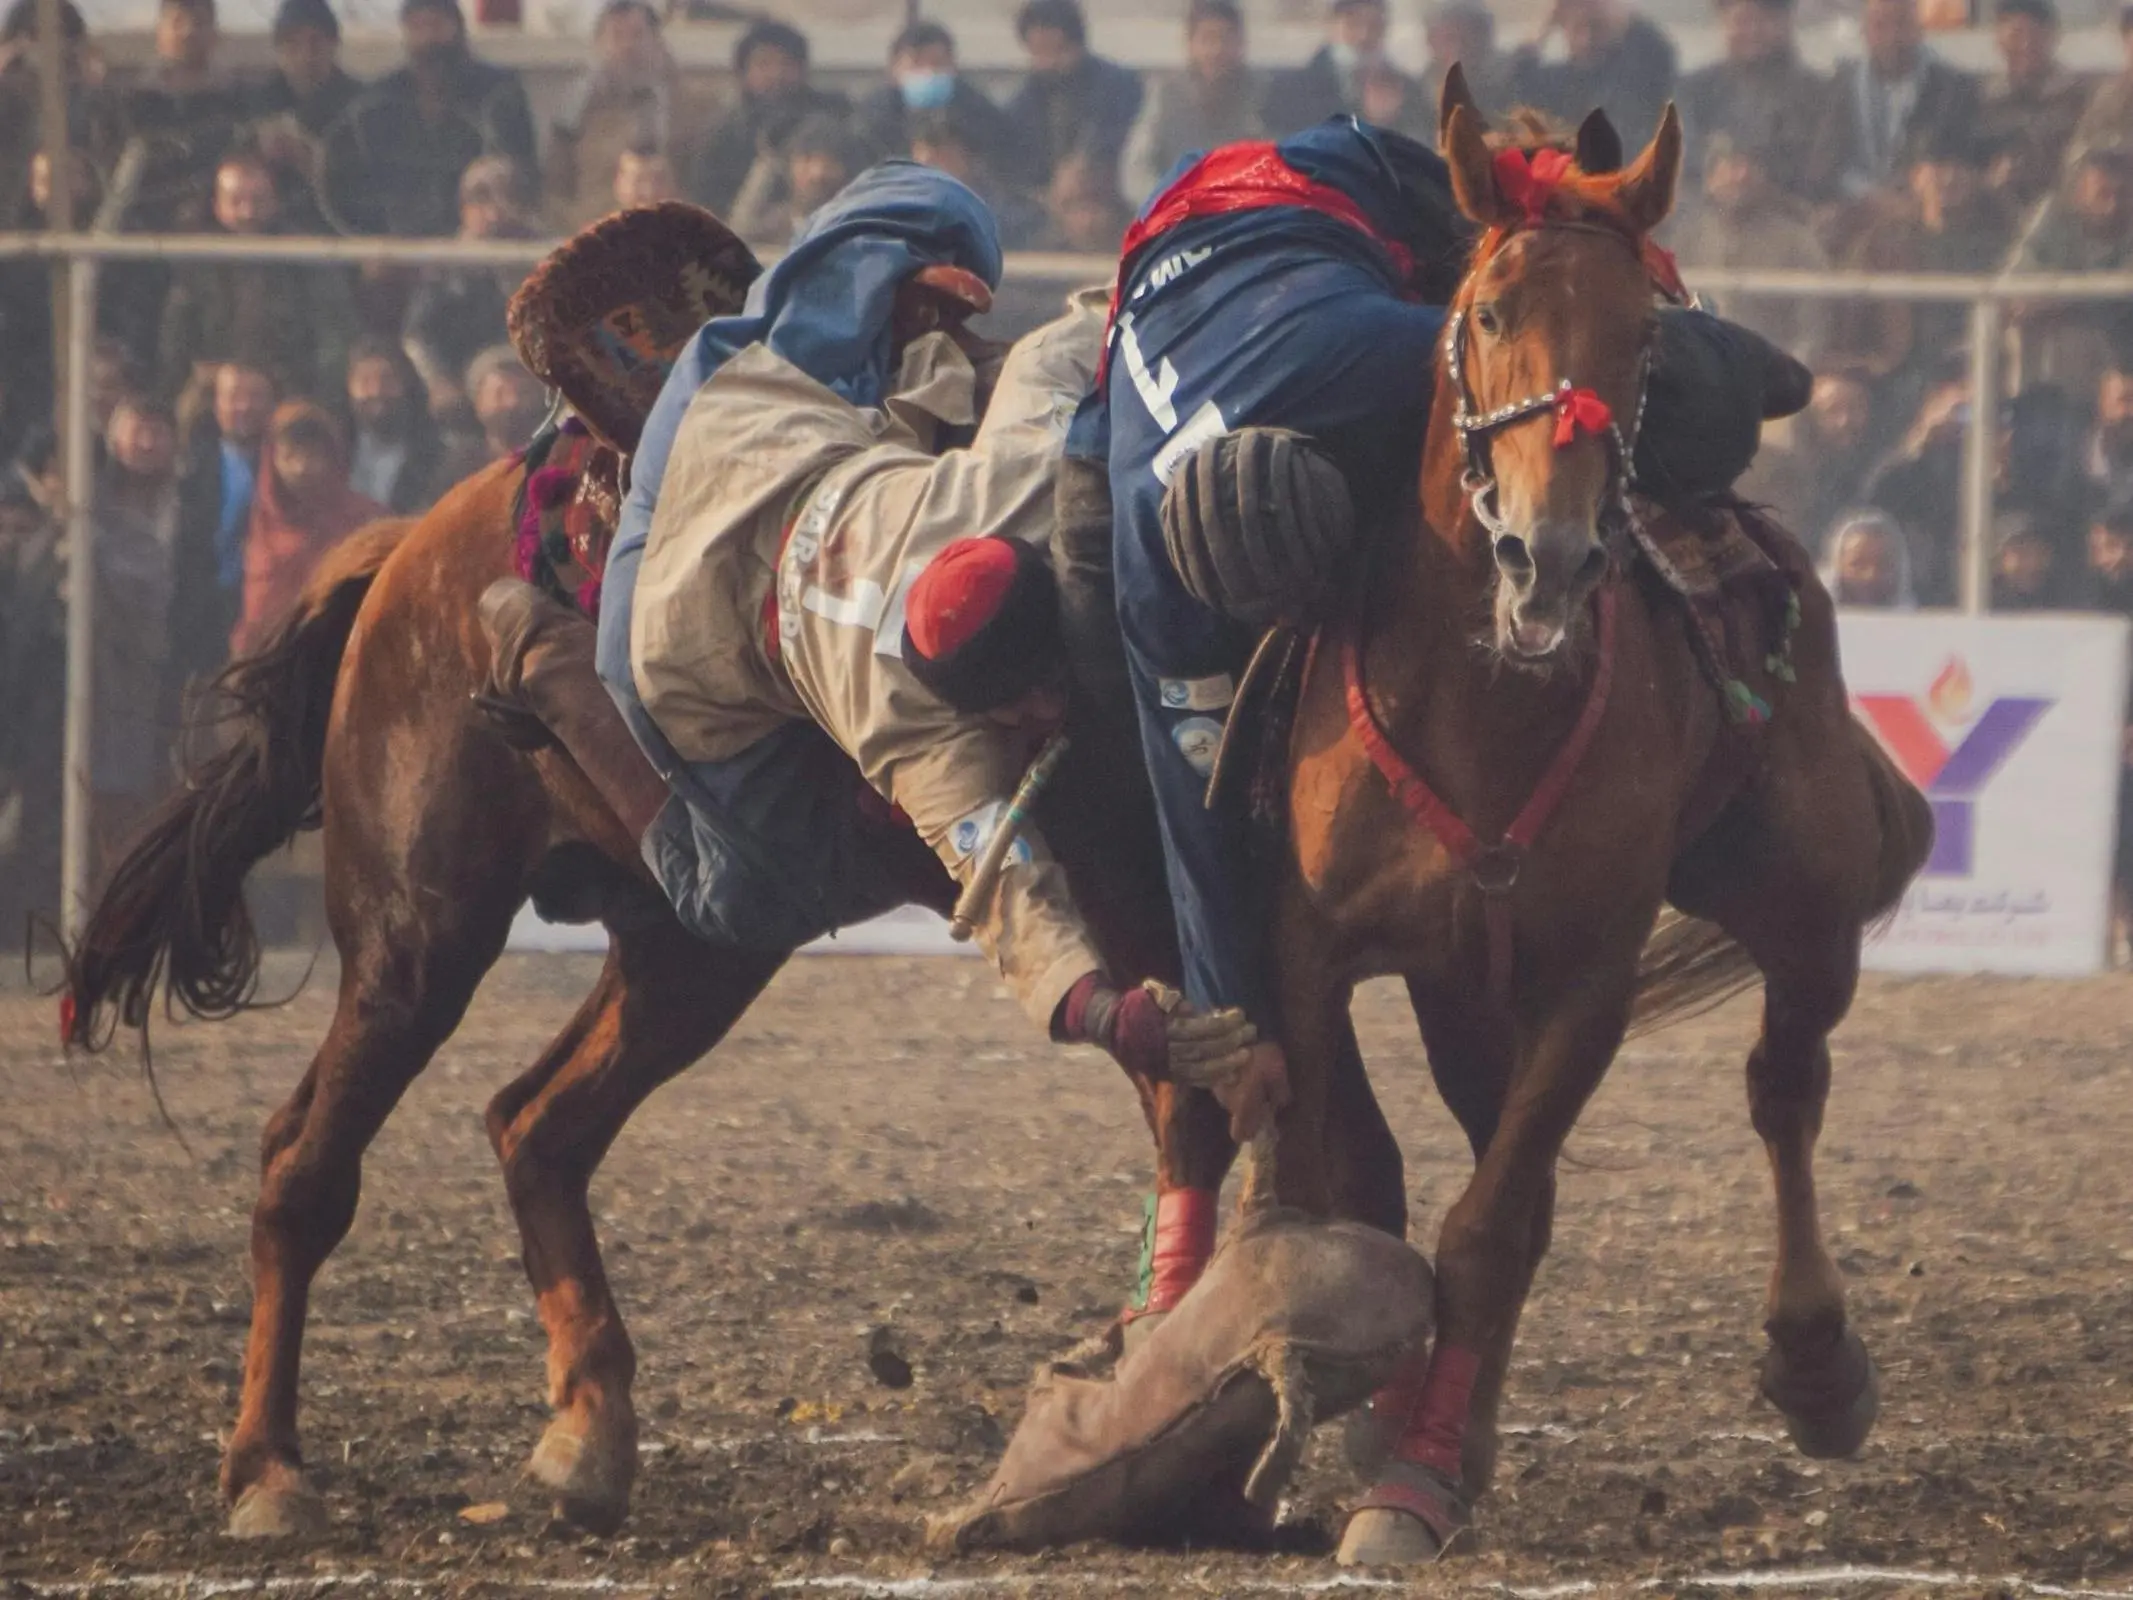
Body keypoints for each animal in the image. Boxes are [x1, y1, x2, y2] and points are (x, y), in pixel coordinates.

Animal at [62, 452, 1237, 1544]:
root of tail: (410, 553)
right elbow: (1189, 1098)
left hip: (691, 945)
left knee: (533, 1124)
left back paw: (588, 1435)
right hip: (418, 941)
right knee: (307, 1166)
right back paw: (267, 1470)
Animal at [1254, 84, 1945, 1570]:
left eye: (1642, 335)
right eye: (1490, 309)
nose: (1552, 559)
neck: (1482, 700)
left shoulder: (1587, 982)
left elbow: (1485, 1228)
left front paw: (1412, 1484)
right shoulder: (1315, 961)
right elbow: (1357, 1192)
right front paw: (1376, 1437)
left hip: (1804, 909)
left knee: (1783, 1088)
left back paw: (1814, 1362)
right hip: (1467, 988)